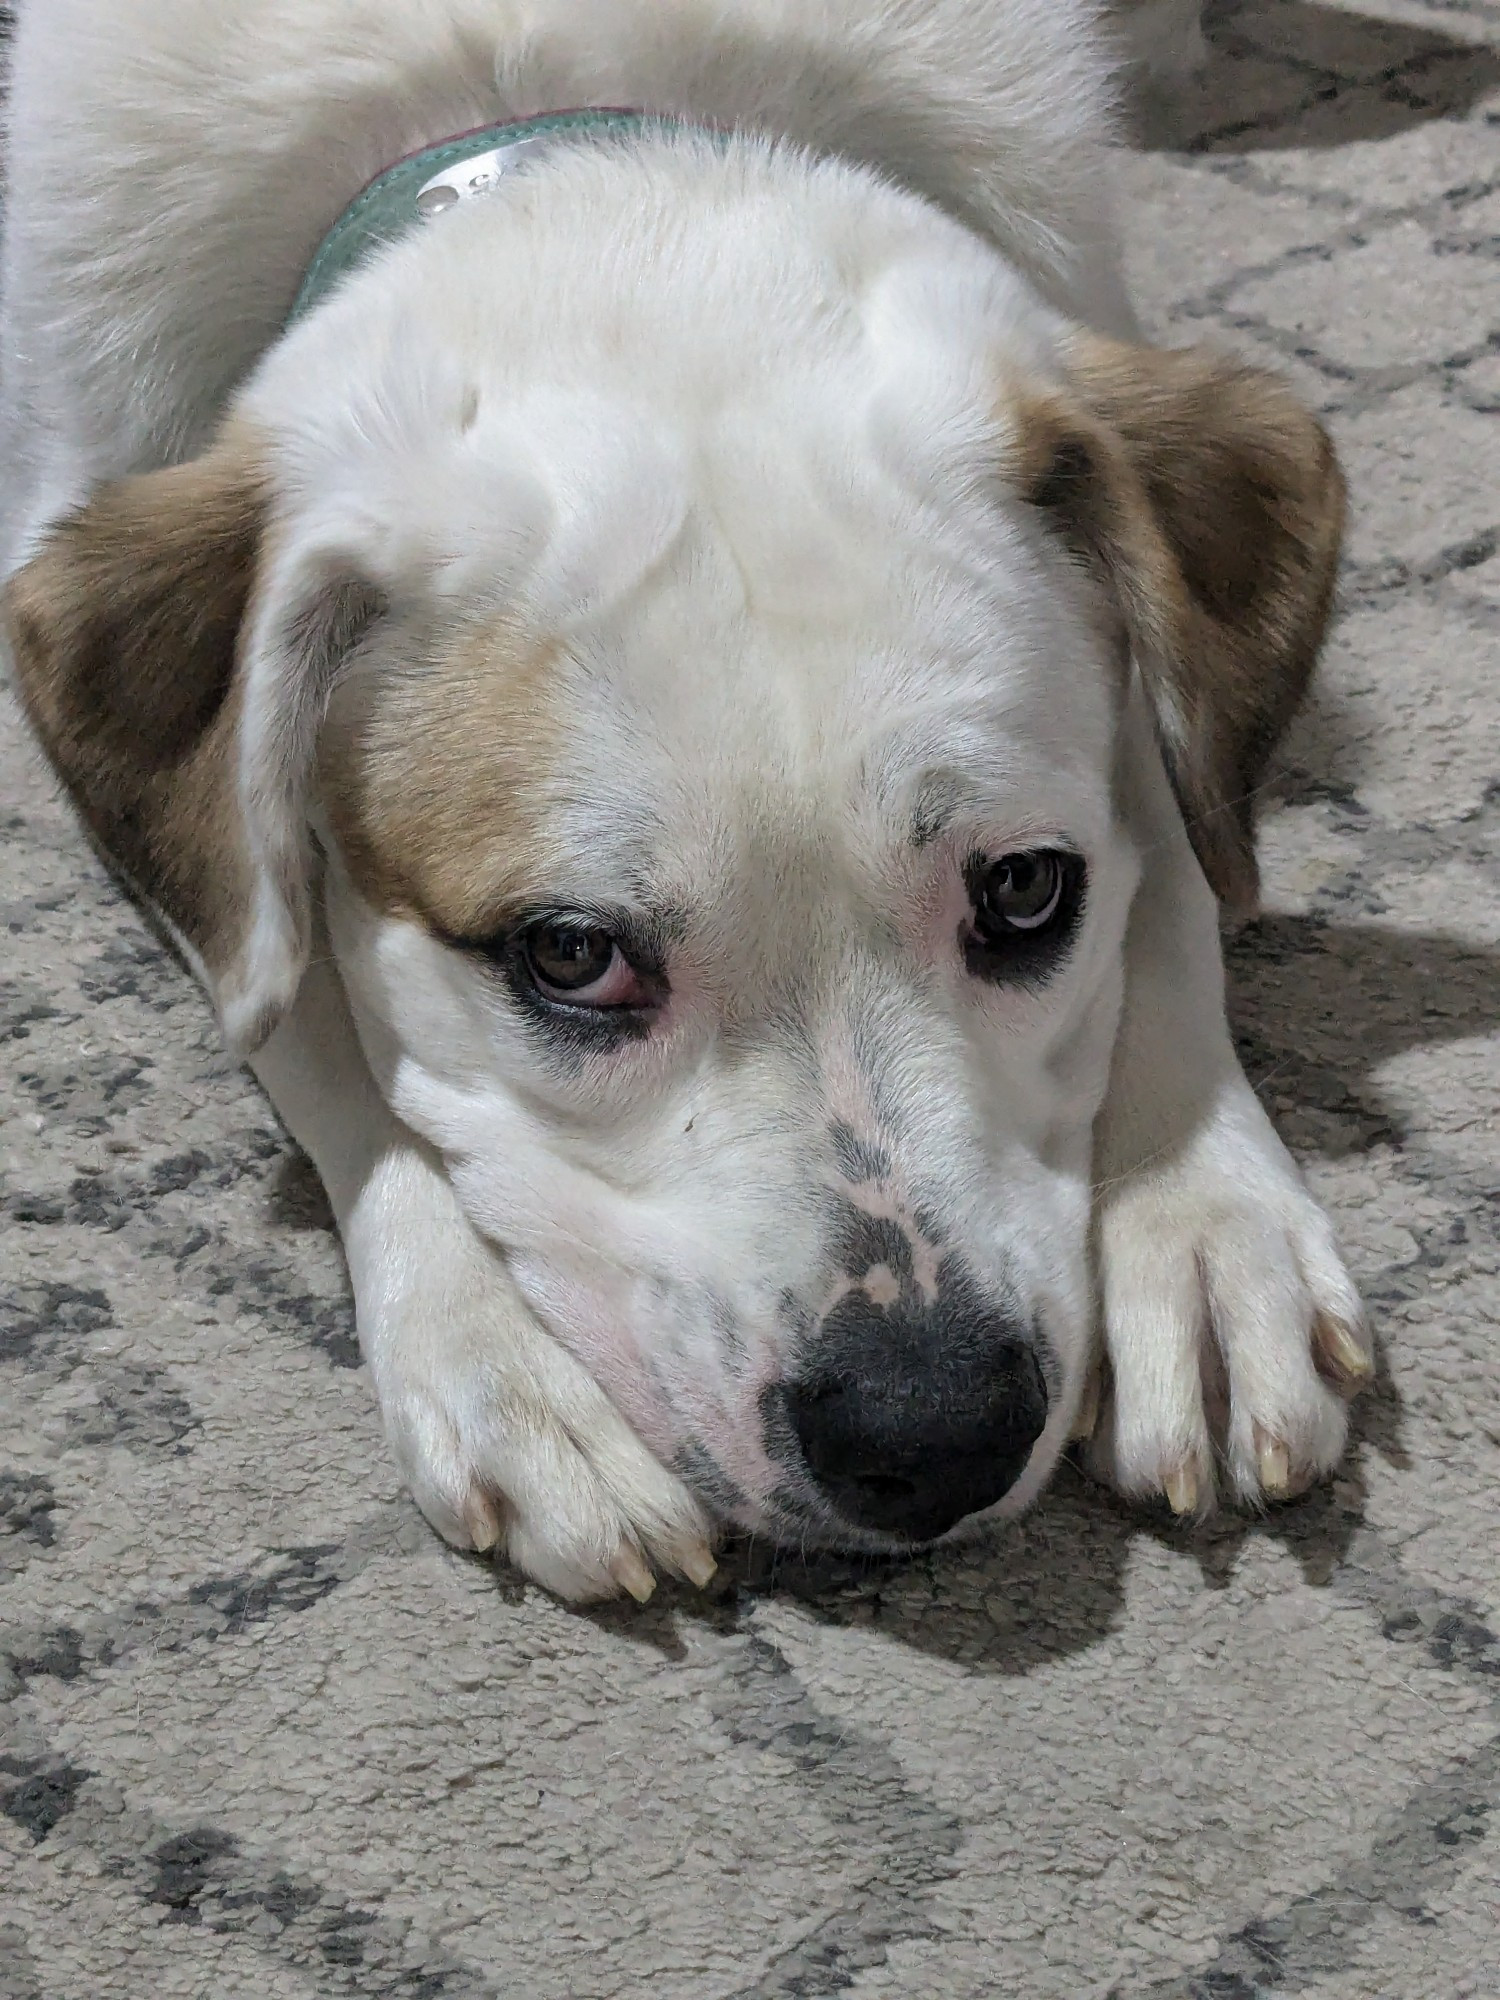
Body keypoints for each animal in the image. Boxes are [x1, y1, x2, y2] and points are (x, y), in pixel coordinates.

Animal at [0, 0, 1376, 1600]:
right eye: (569, 955)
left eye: (1028, 890)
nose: (933, 1431)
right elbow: (304, 1008)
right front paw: (507, 1365)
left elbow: (1182, 866)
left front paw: (1205, 1232)